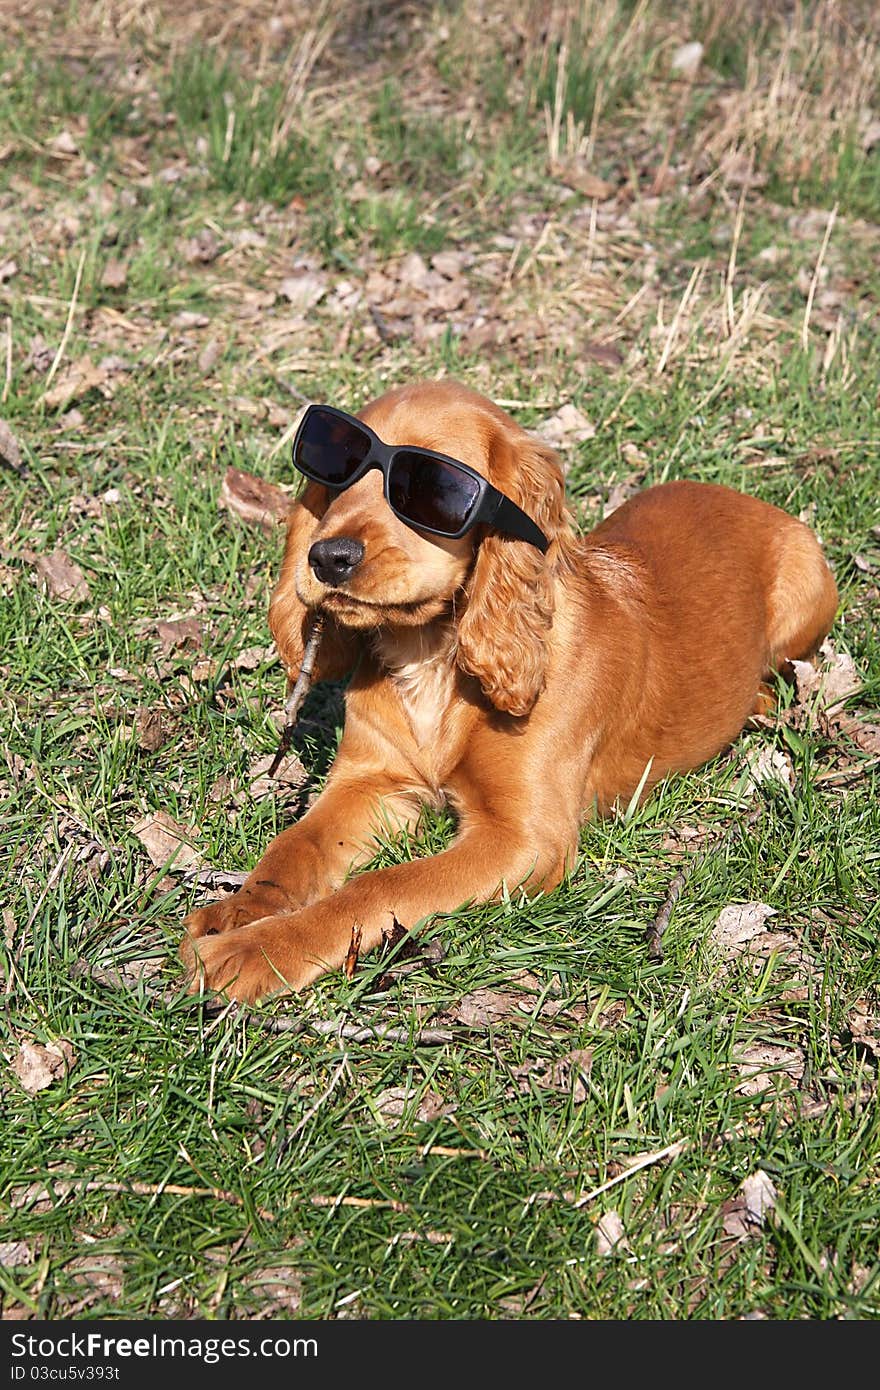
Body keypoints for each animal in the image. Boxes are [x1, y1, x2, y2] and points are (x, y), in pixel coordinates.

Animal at [180, 380, 839, 1000]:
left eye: (432, 489)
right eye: (334, 474)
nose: (326, 556)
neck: (432, 655)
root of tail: (751, 499)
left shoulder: (525, 838)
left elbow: (381, 885)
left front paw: (257, 950)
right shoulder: (371, 783)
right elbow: (295, 847)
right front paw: (237, 912)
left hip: (806, 595)